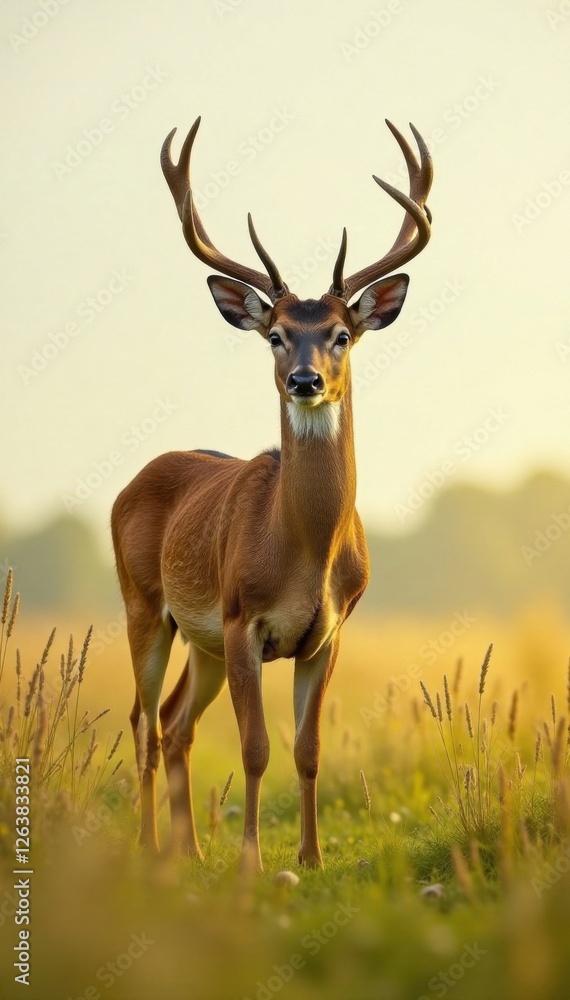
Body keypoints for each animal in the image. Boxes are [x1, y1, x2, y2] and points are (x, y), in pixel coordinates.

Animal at [111, 116, 432, 871]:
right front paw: (254, 862)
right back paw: (150, 848)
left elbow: (308, 750)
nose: (305, 380)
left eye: (342, 334)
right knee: (143, 718)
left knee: (174, 721)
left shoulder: (328, 632)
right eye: (277, 336)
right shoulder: (243, 620)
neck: (303, 552)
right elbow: (256, 749)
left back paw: (190, 853)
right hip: (145, 604)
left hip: (197, 639)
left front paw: (310, 859)